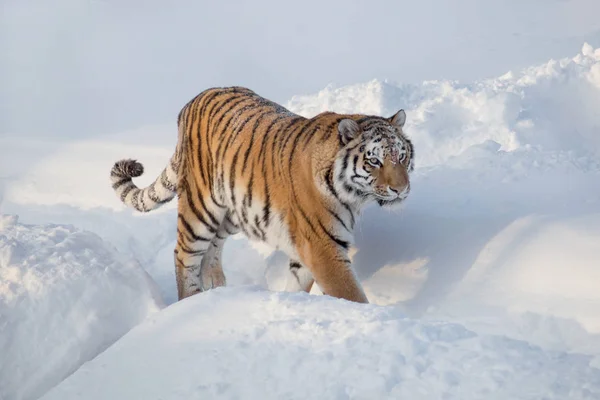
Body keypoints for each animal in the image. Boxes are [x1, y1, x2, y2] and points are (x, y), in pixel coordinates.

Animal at [109, 86, 412, 304]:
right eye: (374, 161)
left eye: (402, 156)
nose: (400, 189)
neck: (353, 195)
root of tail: (192, 102)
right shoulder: (323, 246)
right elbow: (352, 294)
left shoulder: (307, 247)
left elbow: (297, 282)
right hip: (200, 208)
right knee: (184, 253)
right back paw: (191, 302)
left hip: (236, 211)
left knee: (213, 246)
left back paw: (216, 287)